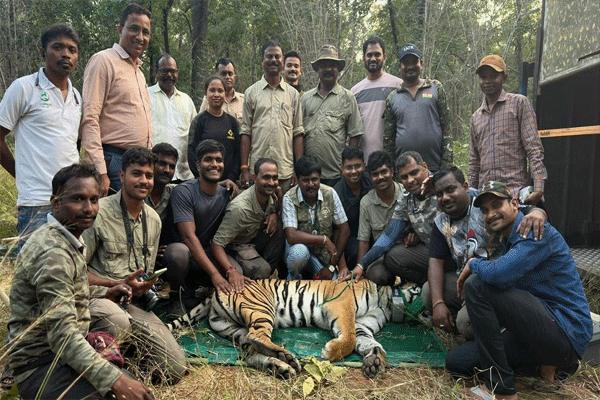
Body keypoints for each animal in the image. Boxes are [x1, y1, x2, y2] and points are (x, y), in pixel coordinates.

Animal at [166, 278, 420, 378]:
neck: (387, 303)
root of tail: (216, 291)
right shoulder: (341, 303)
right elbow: (348, 338)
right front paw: (329, 353)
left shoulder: (363, 327)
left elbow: (370, 343)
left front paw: (375, 361)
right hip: (262, 307)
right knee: (257, 335)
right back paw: (286, 357)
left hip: (233, 328)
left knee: (250, 352)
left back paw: (280, 366)